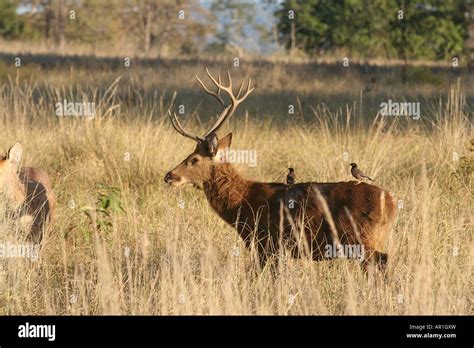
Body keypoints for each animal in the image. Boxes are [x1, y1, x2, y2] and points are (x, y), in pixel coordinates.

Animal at [165, 69, 398, 274]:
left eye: (193, 159)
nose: (169, 175)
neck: (243, 202)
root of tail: (391, 202)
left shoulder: (266, 242)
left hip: (361, 238)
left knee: (382, 260)